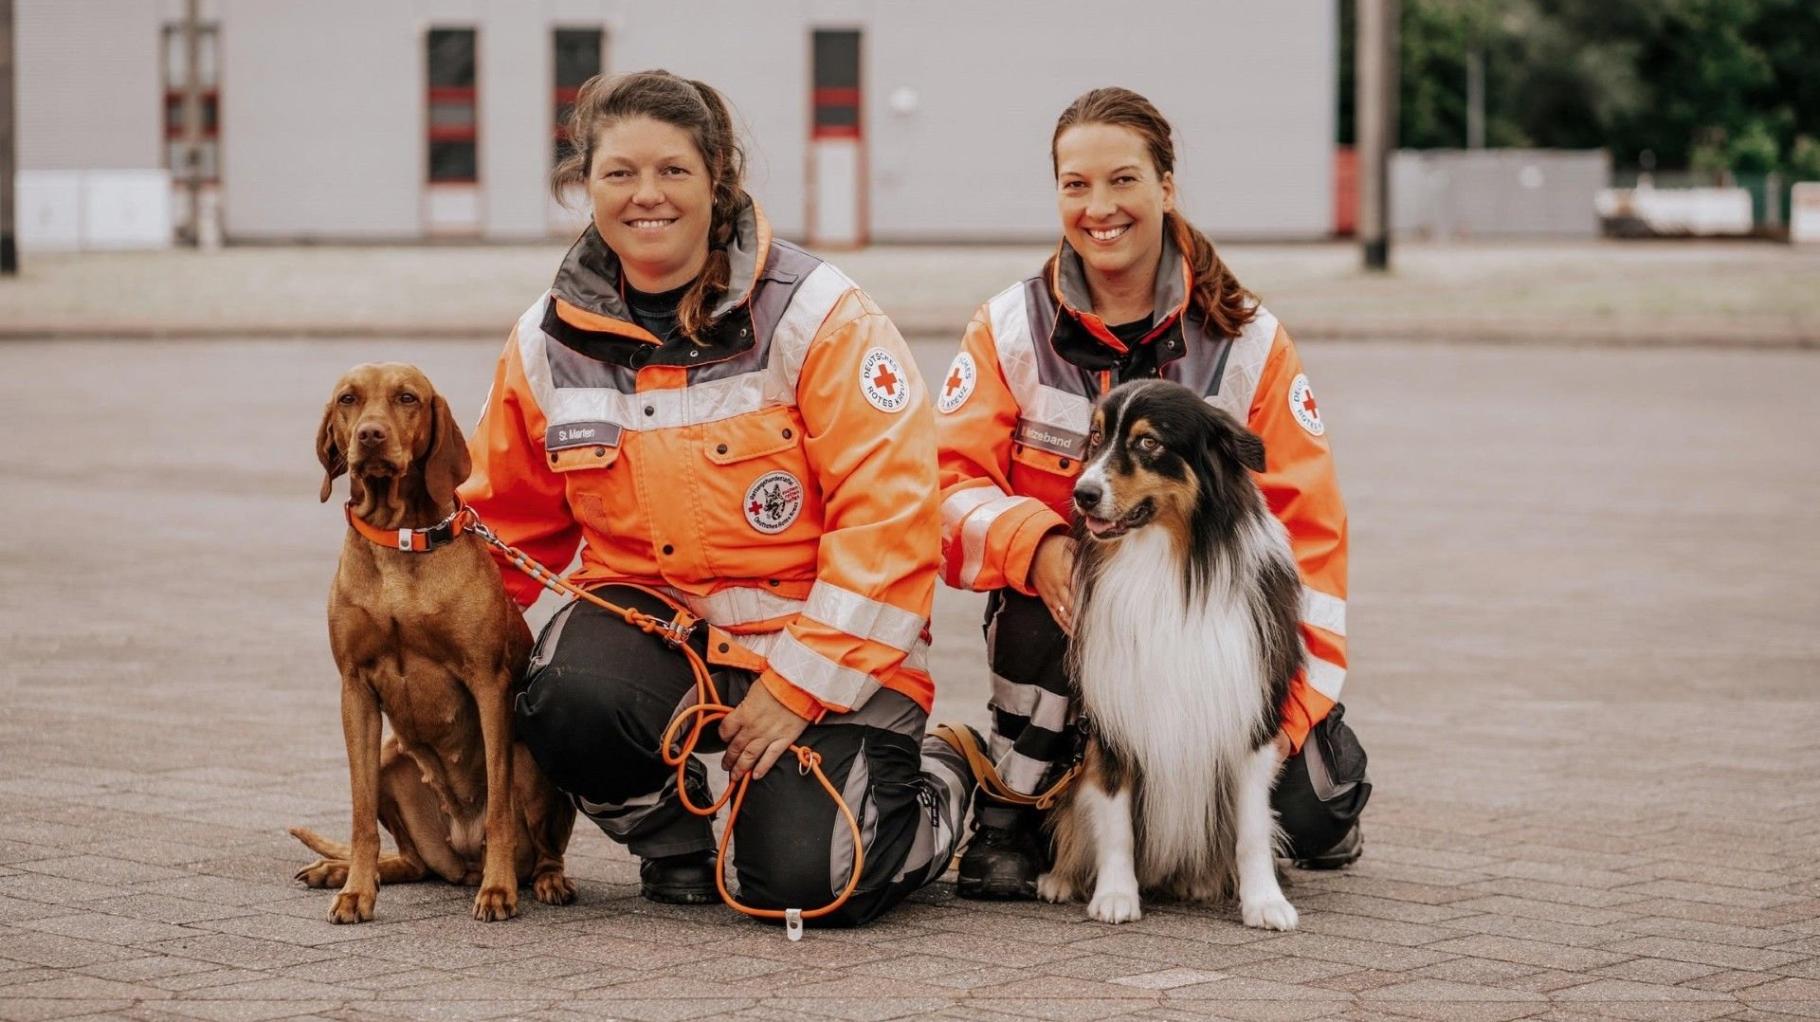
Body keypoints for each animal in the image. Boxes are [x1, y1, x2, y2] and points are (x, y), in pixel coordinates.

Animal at [293, 361, 575, 920]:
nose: (370, 435)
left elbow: (499, 810)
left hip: (534, 763)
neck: (399, 537)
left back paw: (542, 881)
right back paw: (342, 871)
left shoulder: (488, 684)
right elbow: (360, 816)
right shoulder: (354, 689)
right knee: (412, 862)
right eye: (348, 399)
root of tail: (461, 855)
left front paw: (499, 890)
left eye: (407, 398)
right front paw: (355, 891)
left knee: (541, 849)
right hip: (390, 759)